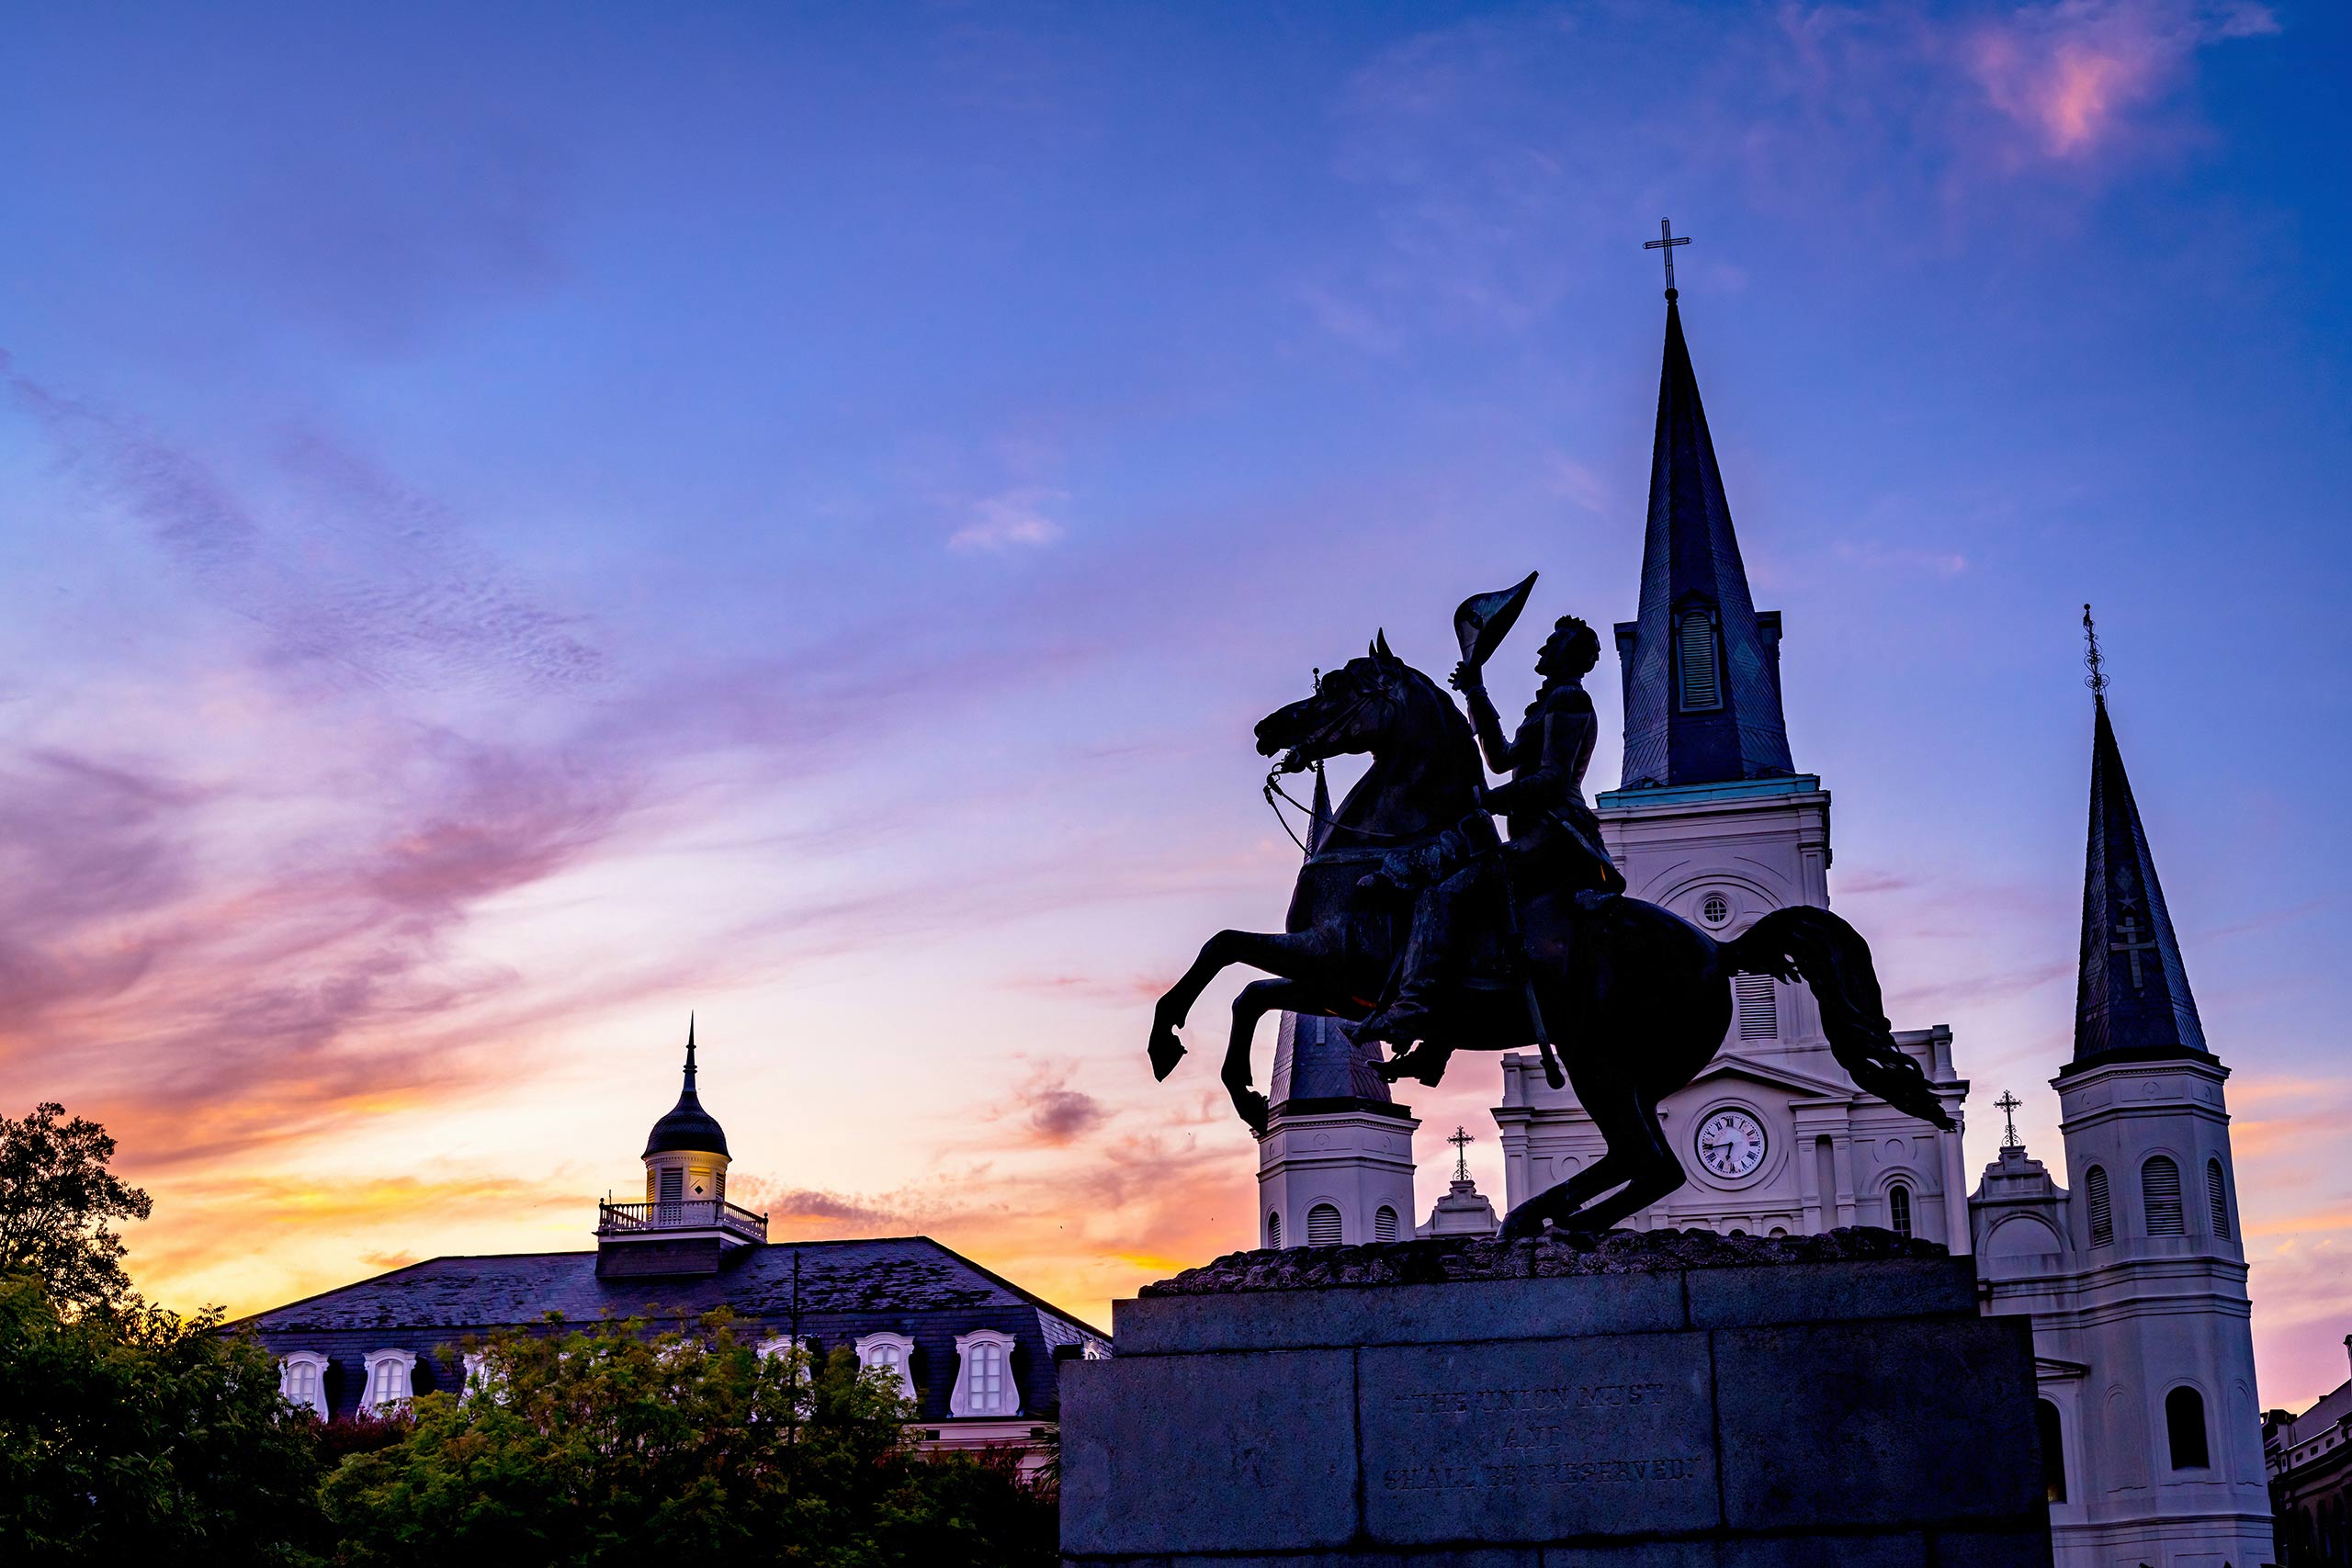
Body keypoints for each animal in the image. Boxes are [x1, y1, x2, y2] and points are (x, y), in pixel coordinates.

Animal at [1148, 639, 1956, 1241]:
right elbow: (1249, 988)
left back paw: (1554, 1220)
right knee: (1646, 1160)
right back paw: (1549, 1216)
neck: (1383, 846)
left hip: (1600, 1060)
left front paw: (1171, 1044)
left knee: (1653, 1161)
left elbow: (1224, 950)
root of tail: (1720, 951)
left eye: (1343, 687)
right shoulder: (1336, 984)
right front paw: (1243, 1090)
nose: (1269, 728)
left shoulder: (1339, 961)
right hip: (1630, 1072)